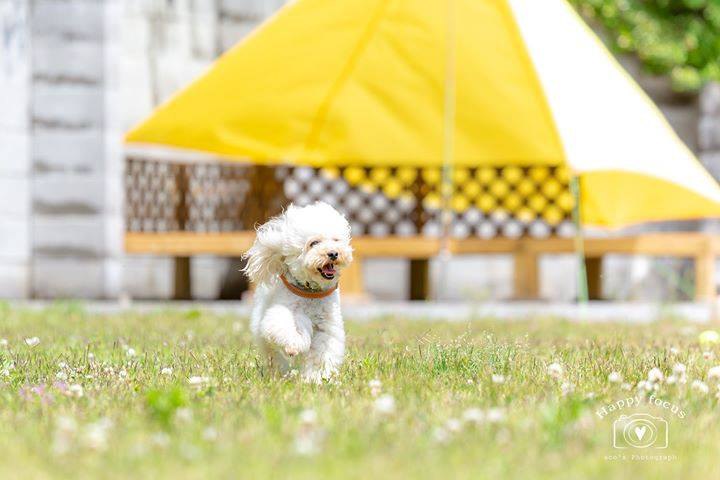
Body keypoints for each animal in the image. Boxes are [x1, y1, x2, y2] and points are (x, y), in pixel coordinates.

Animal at [243, 202, 352, 382]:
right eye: (314, 243)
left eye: (336, 240)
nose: (333, 253)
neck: (311, 292)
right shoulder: (283, 312)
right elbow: (286, 327)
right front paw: (293, 345)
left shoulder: (327, 327)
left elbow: (321, 353)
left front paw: (317, 378)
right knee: (275, 356)